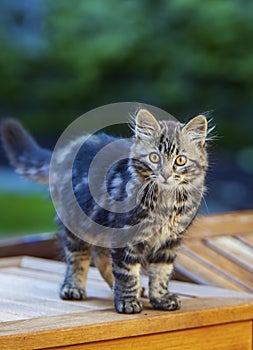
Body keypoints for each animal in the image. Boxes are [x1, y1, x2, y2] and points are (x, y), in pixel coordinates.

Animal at [0, 108, 209, 314]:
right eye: (154, 157)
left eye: (180, 160)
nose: (165, 174)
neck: (165, 201)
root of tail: (67, 150)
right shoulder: (125, 234)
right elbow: (126, 272)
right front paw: (127, 301)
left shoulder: (170, 240)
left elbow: (161, 272)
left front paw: (161, 298)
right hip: (77, 223)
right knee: (79, 256)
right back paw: (73, 287)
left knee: (101, 257)